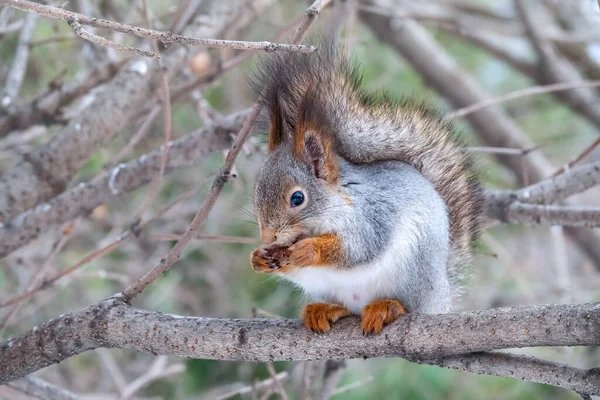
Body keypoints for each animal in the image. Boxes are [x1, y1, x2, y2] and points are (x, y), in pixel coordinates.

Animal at [246, 40, 486, 334]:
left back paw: (387, 307)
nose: (268, 237)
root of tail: (441, 295)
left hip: (412, 272)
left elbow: (359, 247)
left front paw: (309, 250)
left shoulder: (372, 215)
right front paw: (258, 258)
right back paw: (324, 309)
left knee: (407, 304)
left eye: (297, 198)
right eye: (257, 191)